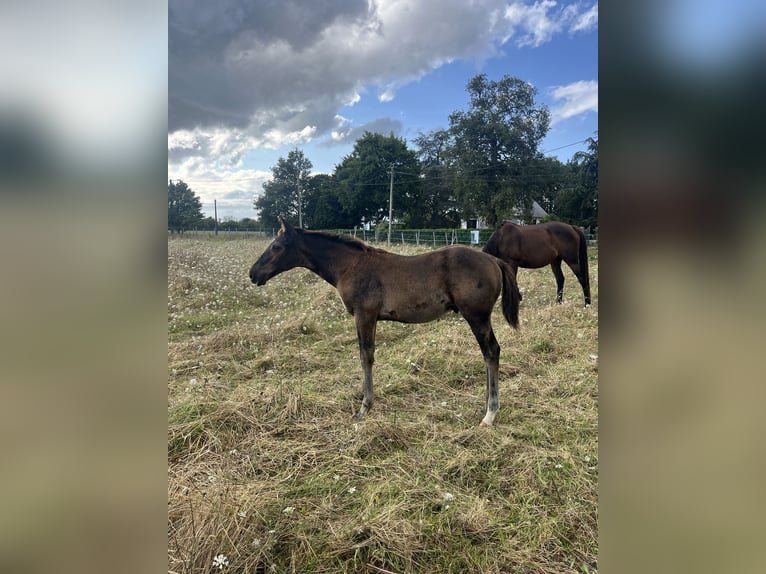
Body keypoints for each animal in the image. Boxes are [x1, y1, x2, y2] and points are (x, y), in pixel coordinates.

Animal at [252, 220, 520, 428]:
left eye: (276, 246)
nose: (253, 274)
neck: (349, 266)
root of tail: (493, 259)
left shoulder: (364, 315)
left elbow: (365, 357)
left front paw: (364, 409)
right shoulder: (371, 318)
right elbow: (369, 356)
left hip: (477, 316)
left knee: (491, 352)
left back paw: (489, 414)